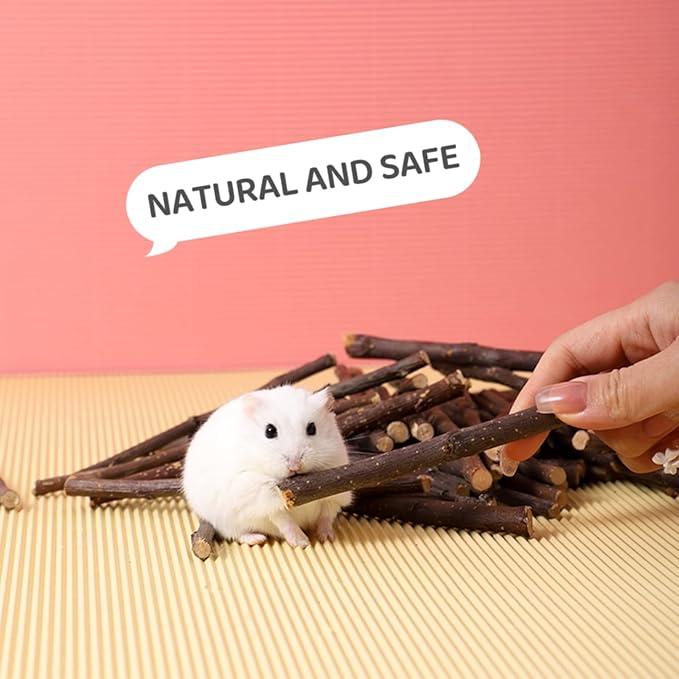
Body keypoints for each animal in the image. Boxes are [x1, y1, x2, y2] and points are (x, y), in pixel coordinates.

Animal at [182, 385, 352, 548]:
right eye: (269, 431)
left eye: (312, 428)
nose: (295, 466)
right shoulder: (264, 499)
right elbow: (284, 520)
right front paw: (302, 543)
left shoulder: (335, 496)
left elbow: (326, 515)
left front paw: (327, 538)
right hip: (224, 521)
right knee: (237, 535)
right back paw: (258, 539)